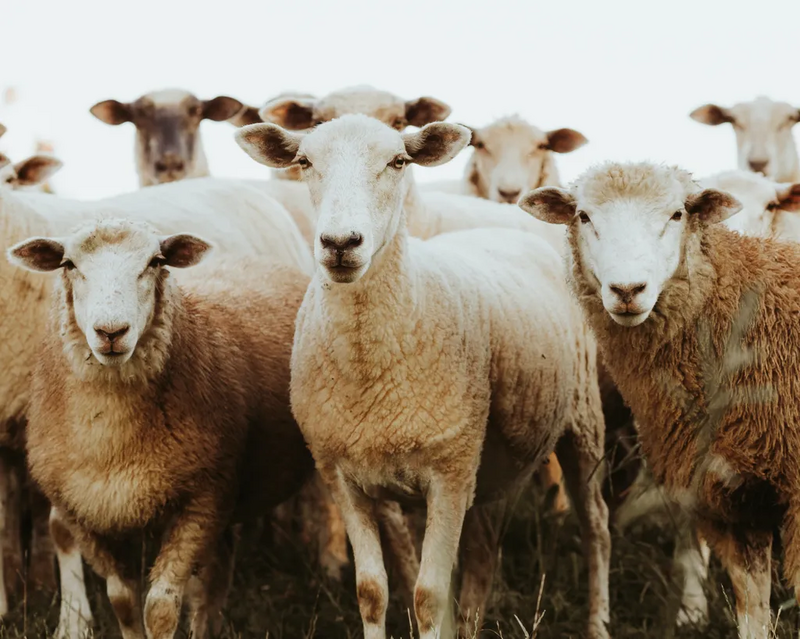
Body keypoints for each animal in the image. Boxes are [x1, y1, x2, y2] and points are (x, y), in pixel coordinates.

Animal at [520, 160, 800, 639]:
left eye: (677, 214)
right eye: (583, 216)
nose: (627, 289)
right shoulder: (725, 494)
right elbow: (751, 608)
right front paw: (693, 609)